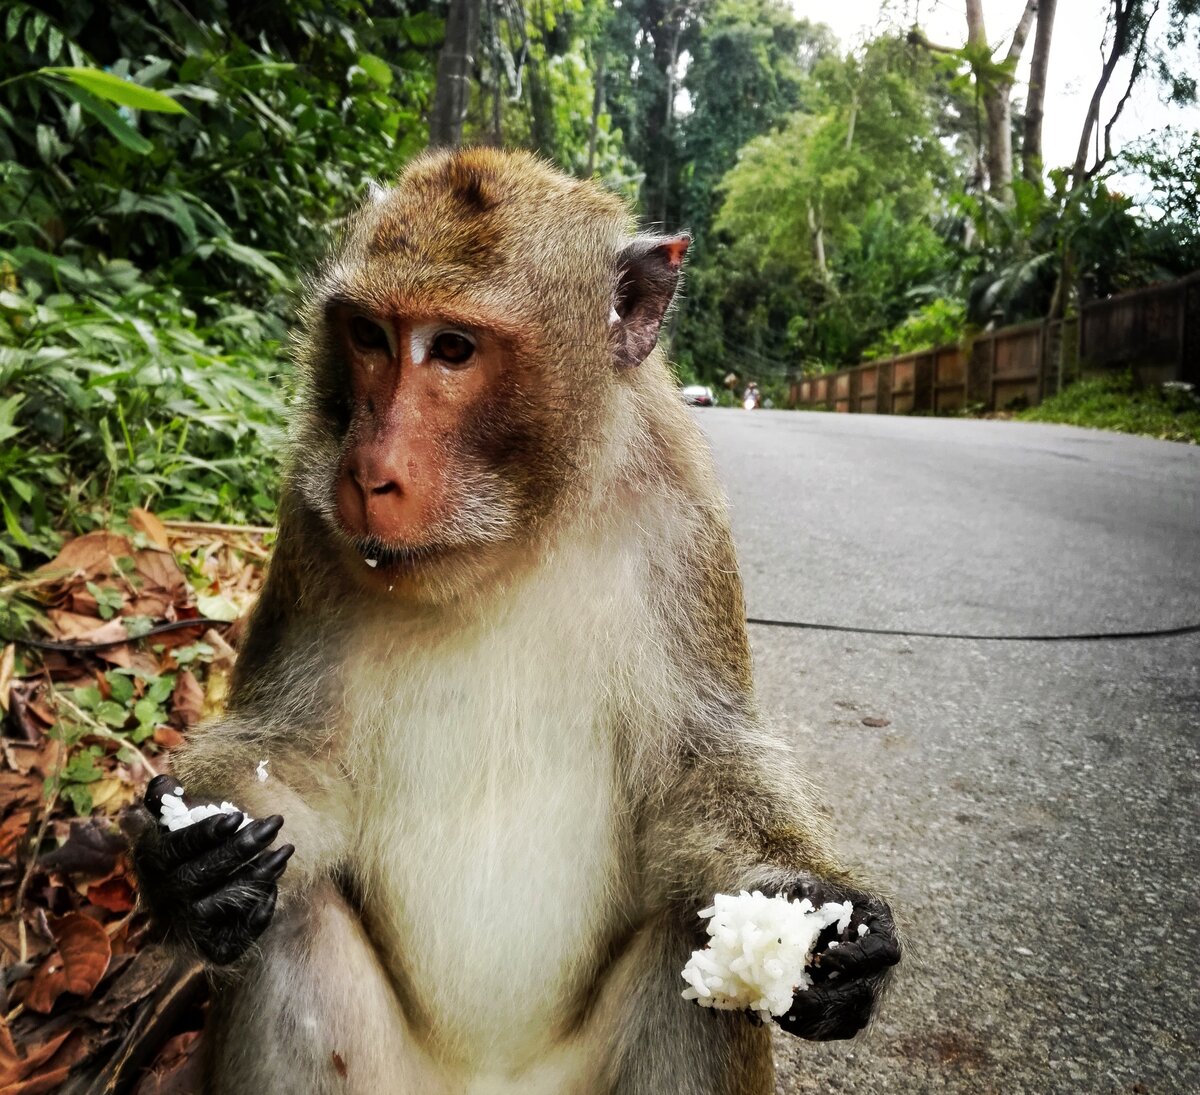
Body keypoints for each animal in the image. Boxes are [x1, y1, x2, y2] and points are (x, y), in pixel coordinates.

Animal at [131, 147, 902, 1095]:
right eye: (370, 337)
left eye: (453, 349)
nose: (369, 472)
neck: (512, 540)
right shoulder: (309, 513)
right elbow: (294, 750)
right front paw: (185, 874)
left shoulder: (684, 518)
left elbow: (700, 765)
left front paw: (828, 920)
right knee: (295, 919)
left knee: (685, 942)